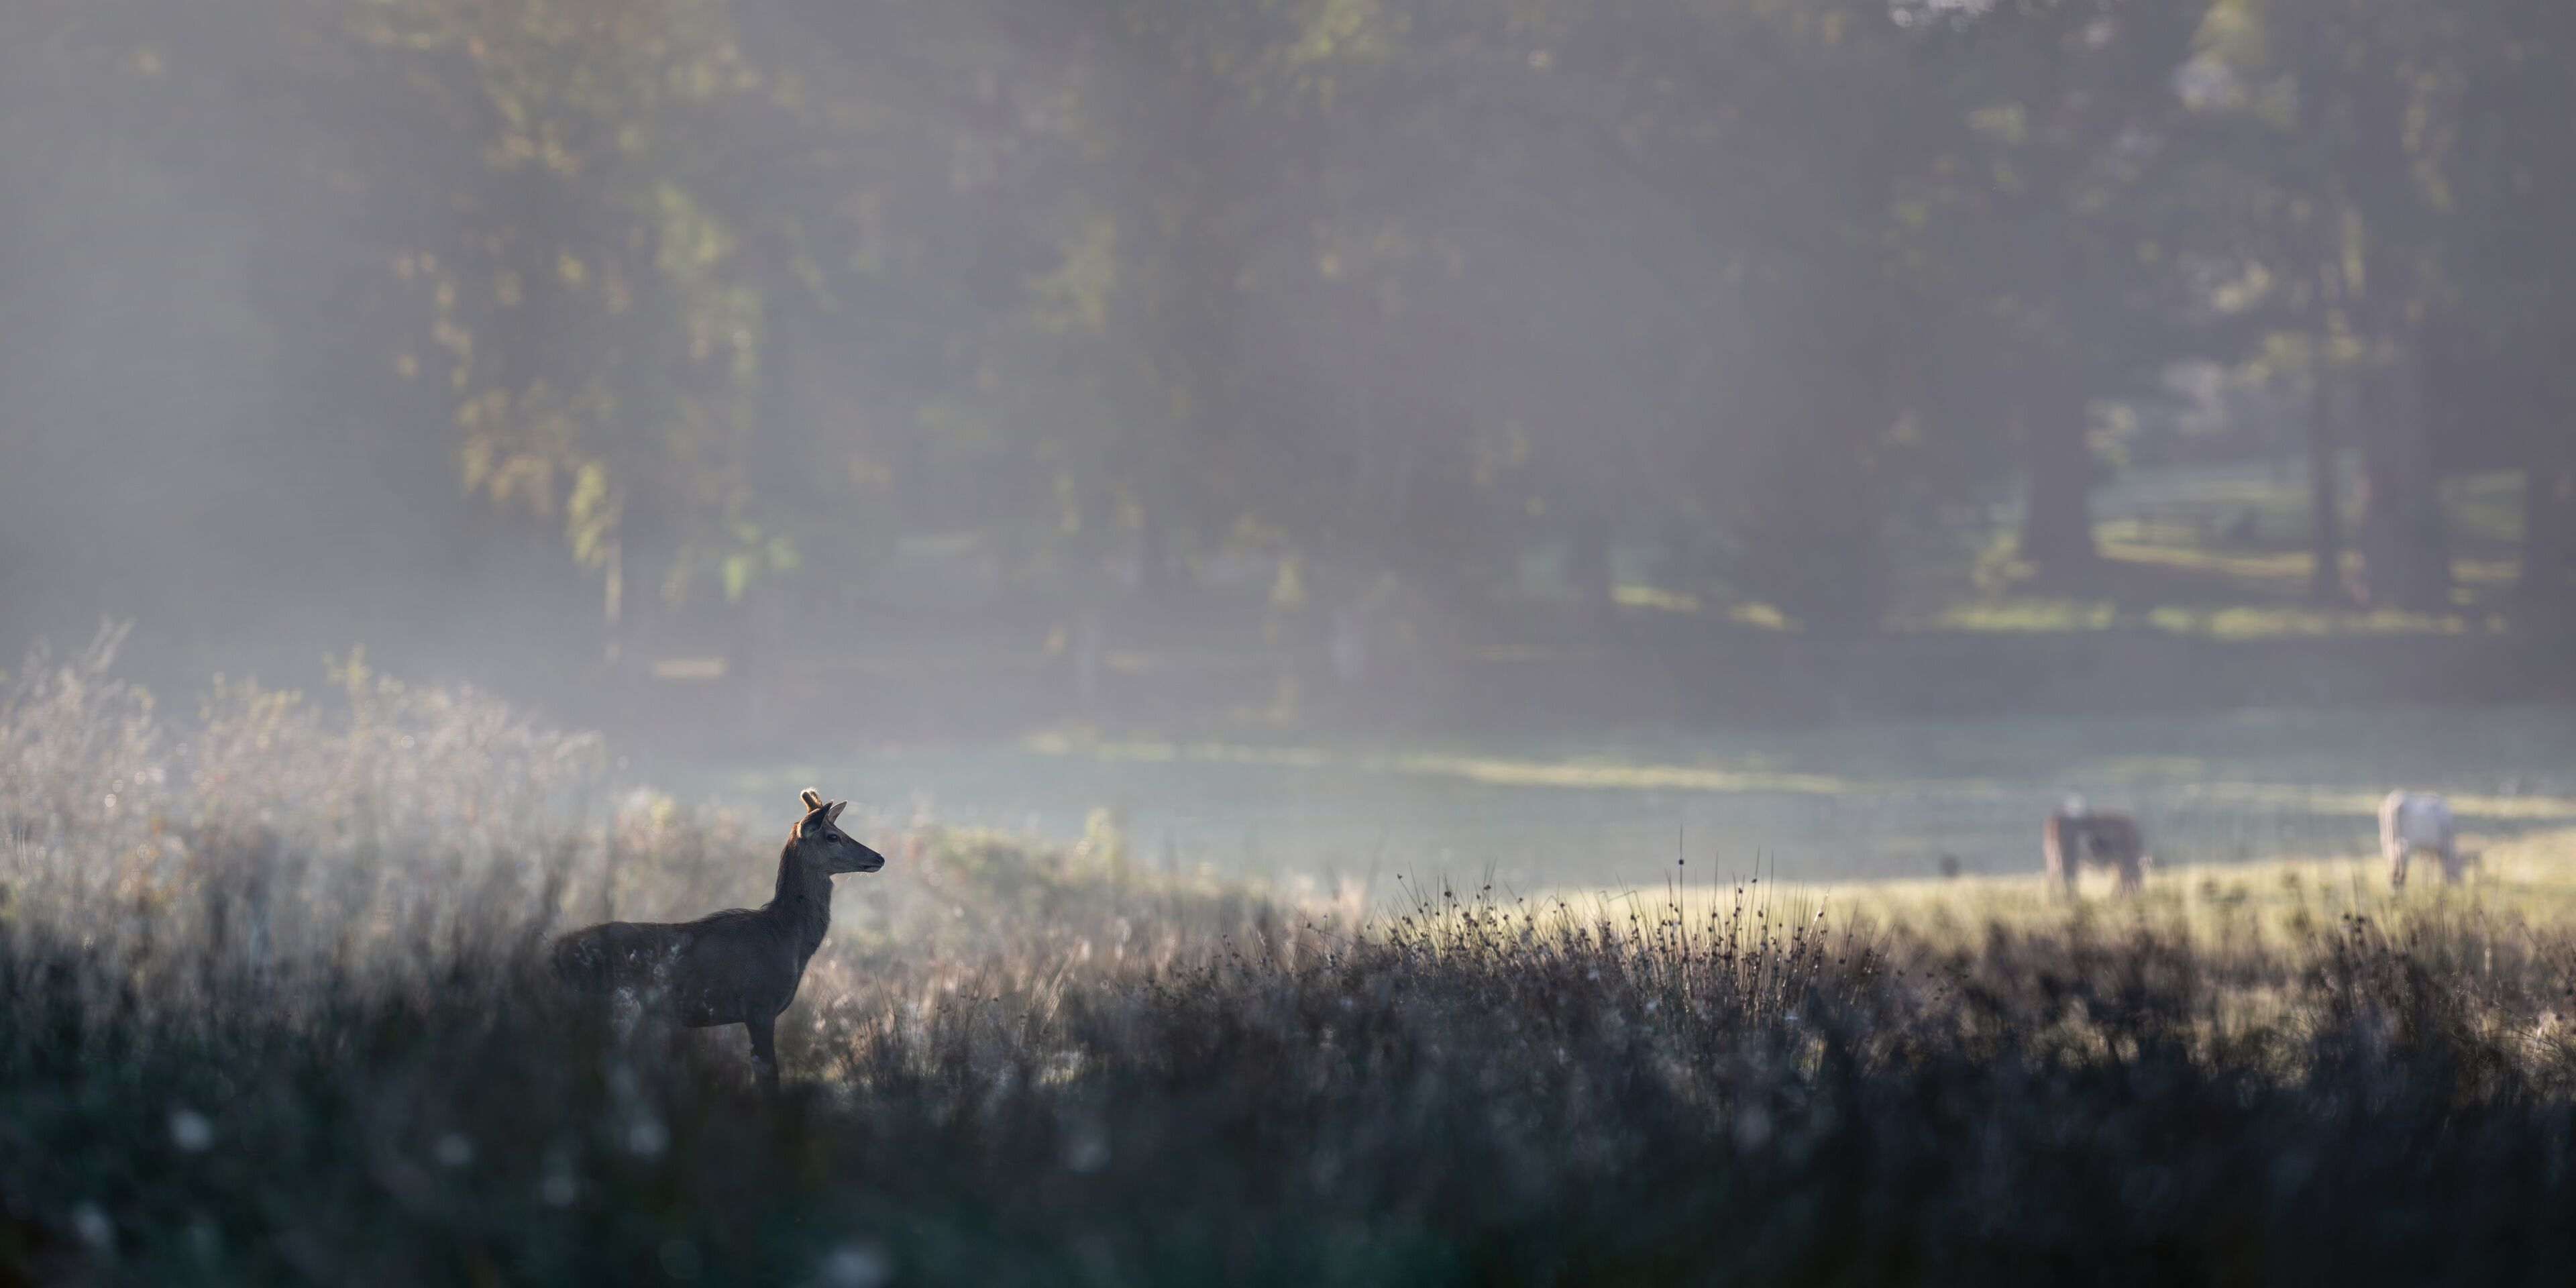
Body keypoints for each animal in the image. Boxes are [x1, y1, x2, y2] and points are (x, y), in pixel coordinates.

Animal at [551, 789, 885, 1093]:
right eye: (833, 836)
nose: (878, 857)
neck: (786, 937)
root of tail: (555, 952)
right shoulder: (758, 1003)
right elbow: (768, 1076)